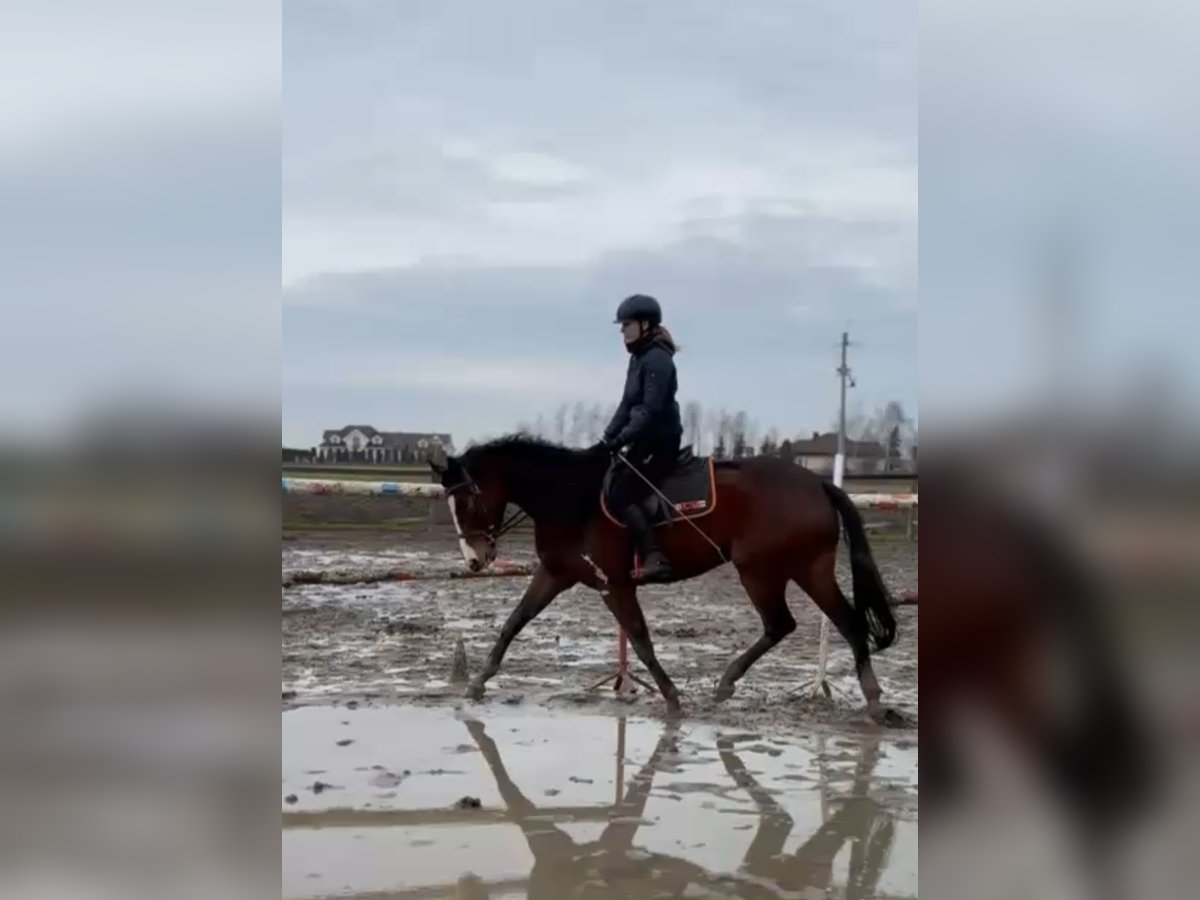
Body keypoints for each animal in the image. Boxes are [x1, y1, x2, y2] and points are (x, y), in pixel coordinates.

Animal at [434, 434, 902, 724]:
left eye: (467, 500)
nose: (475, 560)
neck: (571, 497)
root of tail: (818, 485)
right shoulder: (555, 574)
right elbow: (514, 622)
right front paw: (477, 683)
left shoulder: (614, 585)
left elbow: (641, 640)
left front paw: (672, 698)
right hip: (799, 568)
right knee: (818, 624)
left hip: (764, 569)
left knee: (803, 623)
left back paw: (871, 701)